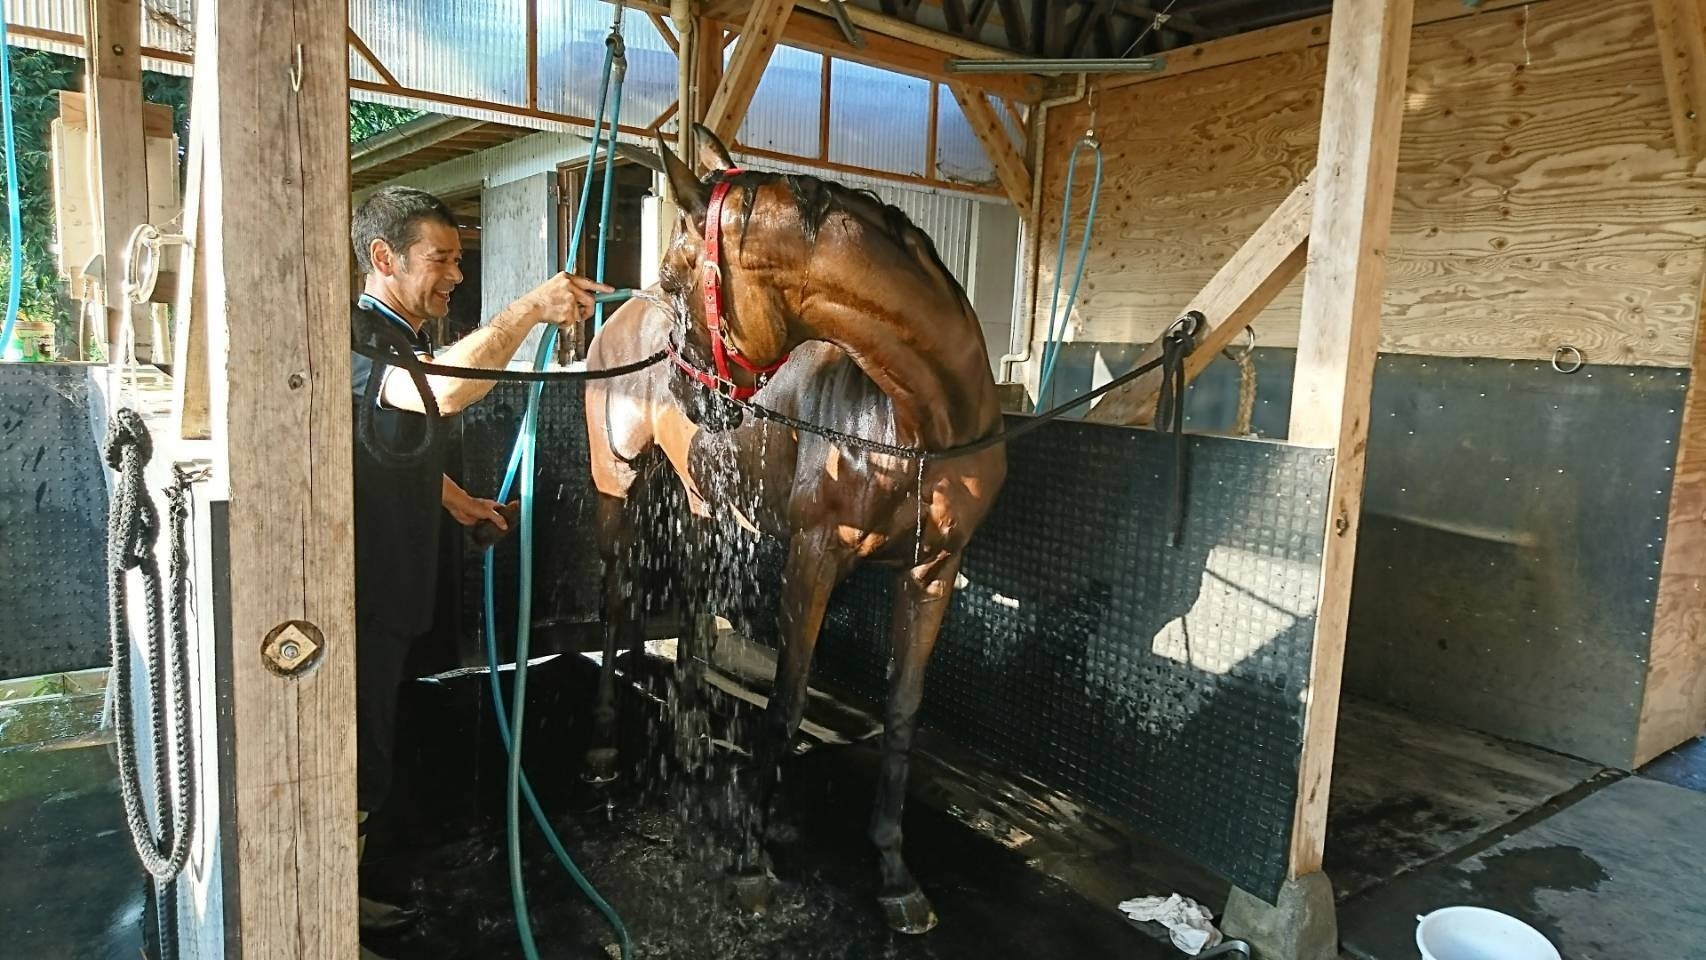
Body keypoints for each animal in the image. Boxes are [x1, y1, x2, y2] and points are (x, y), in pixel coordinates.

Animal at [580, 123, 1003, 934]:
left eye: (678, 276)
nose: (684, 390)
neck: (916, 422)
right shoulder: (814, 555)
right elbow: (784, 706)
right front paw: (750, 860)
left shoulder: (934, 570)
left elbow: (903, 713)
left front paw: (895, 871)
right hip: (615, 481)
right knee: (617, 601)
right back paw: (608, 741)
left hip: (701, 503)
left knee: (690, 611)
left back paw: (688, 738)